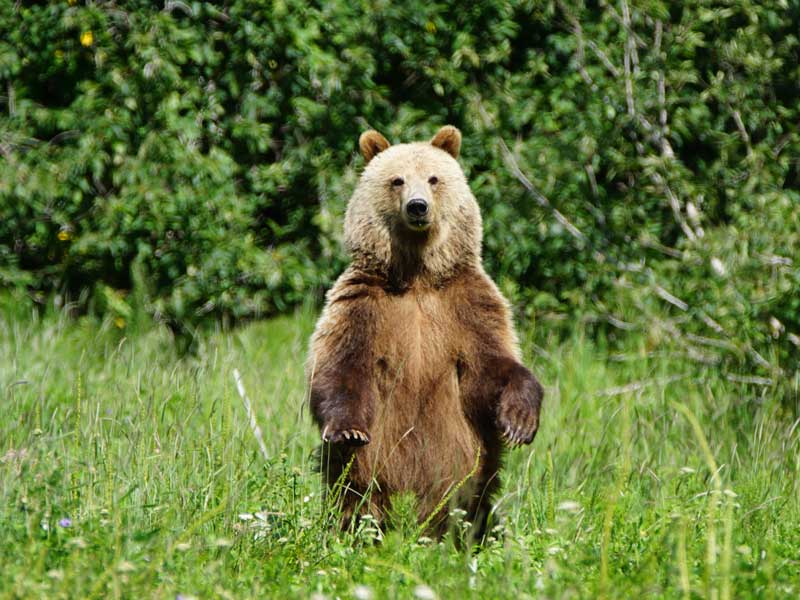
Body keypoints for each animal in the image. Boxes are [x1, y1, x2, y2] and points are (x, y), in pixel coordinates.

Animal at [308, 126, 544, 540]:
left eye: (434, 178)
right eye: (397, 180)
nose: (418, 207)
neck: (417, 275)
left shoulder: (465, 305)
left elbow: (492, 364)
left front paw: (519, 420)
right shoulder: (365, 305)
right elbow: (341, 366)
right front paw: (348, 430)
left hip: (470, 465)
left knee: (469, 498)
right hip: (370, 470)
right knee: (354, 490)